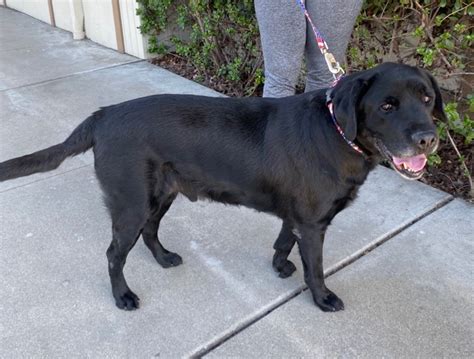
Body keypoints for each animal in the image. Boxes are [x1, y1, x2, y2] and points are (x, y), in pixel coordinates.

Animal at [0, 64, 444, 312]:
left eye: (426, 98)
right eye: (387, 105)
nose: (428, 139)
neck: (335, 130)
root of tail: (102, 115)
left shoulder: (298, 217)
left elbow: (284, 240)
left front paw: (279, 265)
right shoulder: (314, 224)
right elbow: (315, 268)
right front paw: (322, 299)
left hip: (161, 194)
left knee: (150, 231)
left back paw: (163, 259)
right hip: (131, 202)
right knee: (113, 254)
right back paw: (123, 296)